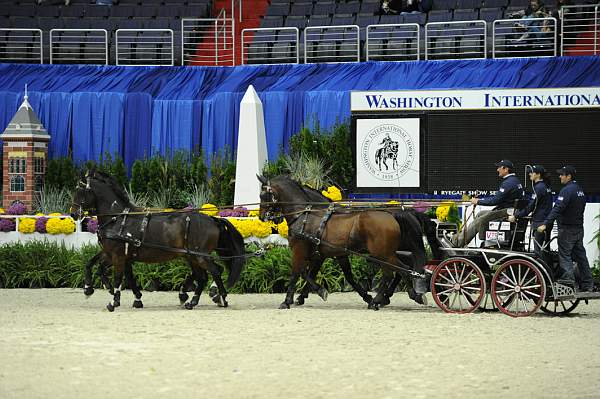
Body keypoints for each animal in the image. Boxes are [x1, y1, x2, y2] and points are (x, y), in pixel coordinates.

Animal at [73, 170, 246, 310]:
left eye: (80, 192)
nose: (74, 214)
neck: (118, 219)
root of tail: (212, 219)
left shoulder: (118, 255)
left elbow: (118, 277)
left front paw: (113, 301)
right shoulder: (113, 254)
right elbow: (94, 265)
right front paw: (90, 289)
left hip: (199, 255)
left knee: (214, 271)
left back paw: (220, 298)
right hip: (191, 256)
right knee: (203, 276)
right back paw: (193, 301)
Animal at [256, 175, 426, 310]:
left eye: (263, 195)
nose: (262, 217)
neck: (304, 214)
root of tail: (391, 215)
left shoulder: (300, 250)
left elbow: (297, 272)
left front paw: (288, 301)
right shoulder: (332, 254)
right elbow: (341, 275)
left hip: (382, 254)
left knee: (394, 272)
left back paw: (380, 300)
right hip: (387, 253)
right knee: (401, 270)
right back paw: (404, 296)